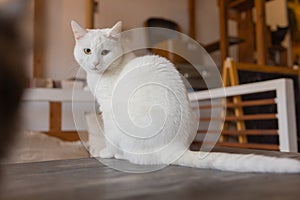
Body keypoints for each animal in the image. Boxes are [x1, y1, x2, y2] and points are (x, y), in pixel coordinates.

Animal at [72, 20, 300, 173]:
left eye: (105, 52)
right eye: (87, 51)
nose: (95, 63)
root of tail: (175, 147)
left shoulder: (107, 112)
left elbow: (109, 139)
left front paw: (105, 153)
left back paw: (120, 154)